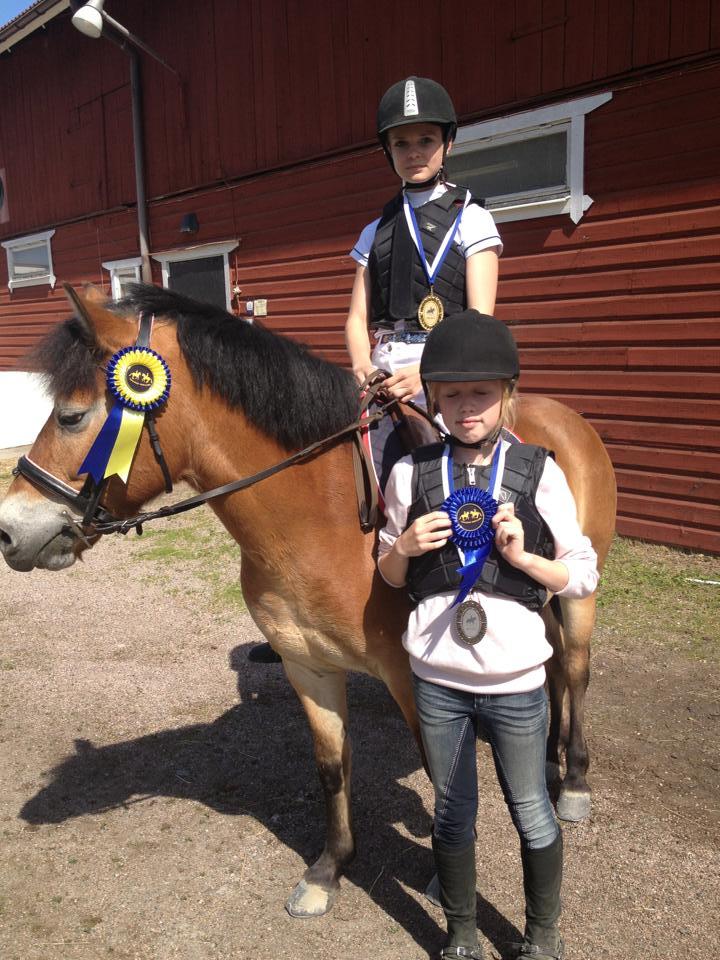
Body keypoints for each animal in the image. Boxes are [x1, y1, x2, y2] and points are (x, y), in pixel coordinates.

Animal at [0, 284, 616, 916]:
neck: (323, 515)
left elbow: (439, 765)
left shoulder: (411, 674)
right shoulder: (307, 665)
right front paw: (329, 869)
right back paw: (546, 758)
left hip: (578, 593)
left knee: (574, 669)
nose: (9, 530)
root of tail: (568, 418)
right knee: (546, 672)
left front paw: (441, 875)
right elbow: (331, 766)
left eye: (72, 416)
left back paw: (573, 780)